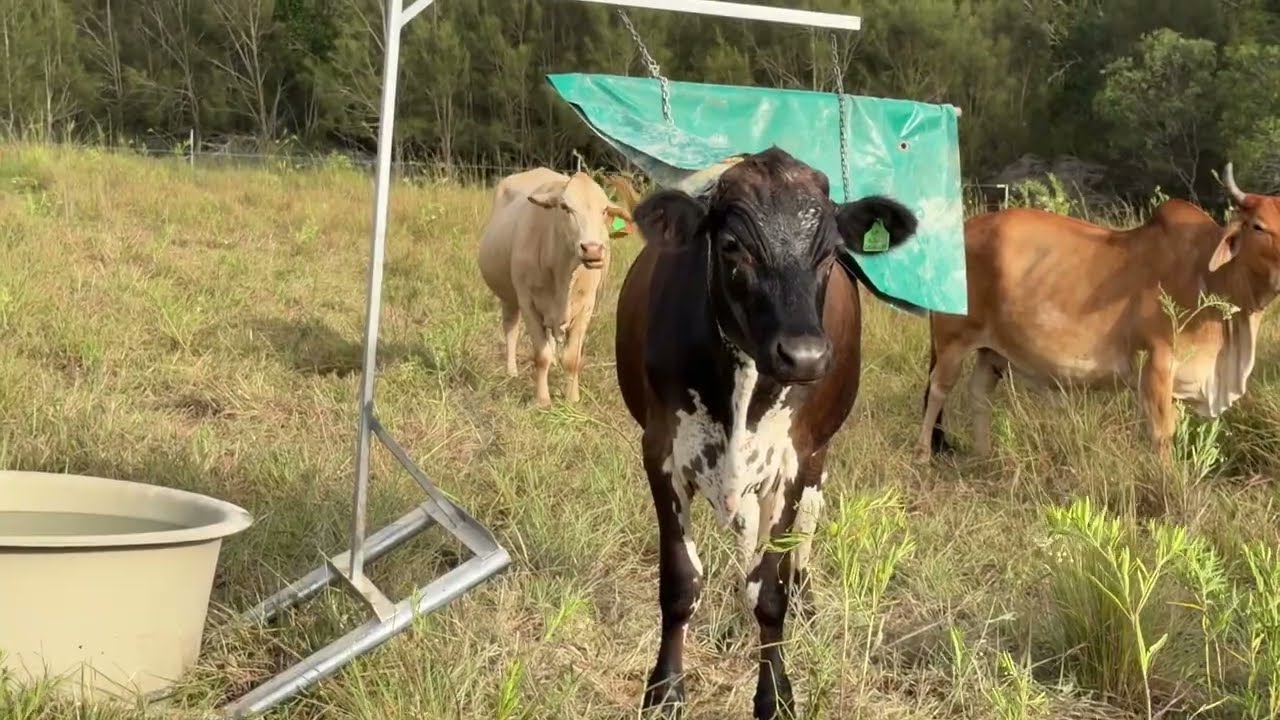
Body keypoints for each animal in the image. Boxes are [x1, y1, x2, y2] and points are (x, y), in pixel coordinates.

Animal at [477, 167, 634, 407]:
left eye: (605, 210)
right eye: (565, 207)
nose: (592, 249)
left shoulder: (586, 307)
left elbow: (572, 358)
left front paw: (572, 400)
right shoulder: (528, 302)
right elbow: (540, 355)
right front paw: (542, 400)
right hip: (509, 298)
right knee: (511, 330)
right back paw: (512, 371)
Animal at [615, 147, 922, 719]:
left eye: (831, 252)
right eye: (732, 245)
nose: (804, 355)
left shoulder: (793, 461)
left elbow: (769, 592)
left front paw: (776, 692)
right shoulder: (661, 451)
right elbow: (680, 582)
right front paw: (666, 689)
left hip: (818, 457)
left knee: (802, 532)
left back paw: (803, 598)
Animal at [916, 163, 1280, 464]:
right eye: (1258, 226)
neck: (1207, 274)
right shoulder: (1157, 361)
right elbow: (1162, 432)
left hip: (991, 350)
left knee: (979, 394)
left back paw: (984, 456)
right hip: (953, 339)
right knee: (938, 389)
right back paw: (922, 455)